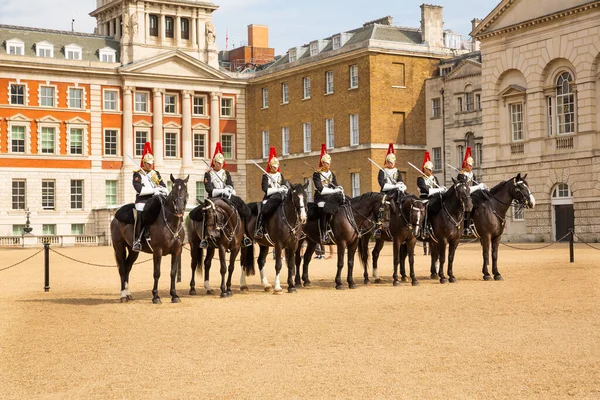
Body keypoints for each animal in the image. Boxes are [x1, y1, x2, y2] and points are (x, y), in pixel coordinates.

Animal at [110, 175, 189, 304]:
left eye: (185, 191)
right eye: (173, 191)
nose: (180, 209)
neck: (171, 224)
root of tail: (115, 216)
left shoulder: (177, 251)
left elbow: (173, 272)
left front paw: (174, 295)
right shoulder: (157, 251)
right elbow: (157, 273)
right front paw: (156, 296)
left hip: (133, 251)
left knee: (127, 267)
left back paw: (128, 294)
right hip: (119, 248)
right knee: (122, 268)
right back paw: (123, 295)